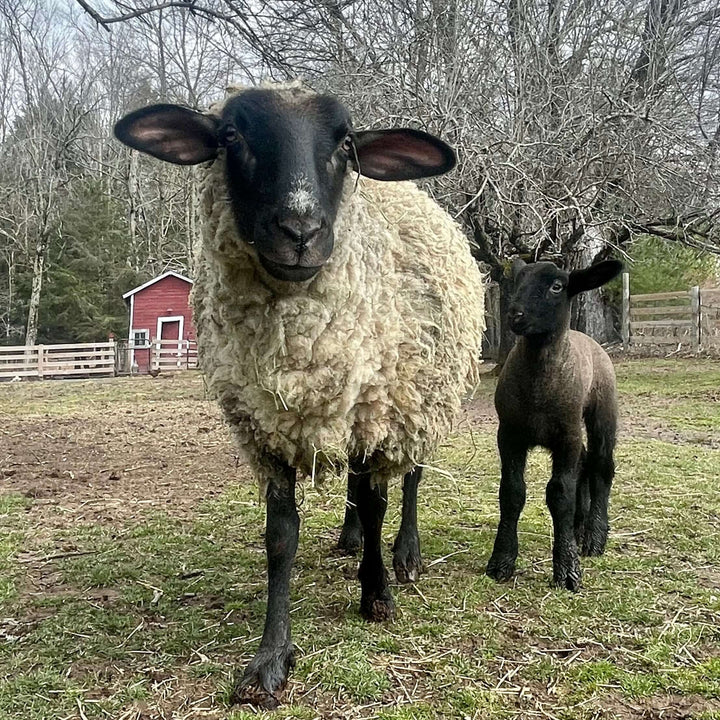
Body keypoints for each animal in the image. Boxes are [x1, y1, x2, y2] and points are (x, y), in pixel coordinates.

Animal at [115, 81, 486, 704]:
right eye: (231, 135)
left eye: (346, 144)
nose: (300, 232)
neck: (295, 346)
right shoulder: (265, 429)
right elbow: (280, 537)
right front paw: (269, 660)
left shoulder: (376, 414)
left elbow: (378, 503)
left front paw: (376, 595)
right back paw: (350, 540)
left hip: (422, 395)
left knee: (408, 478)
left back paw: (403, 555)